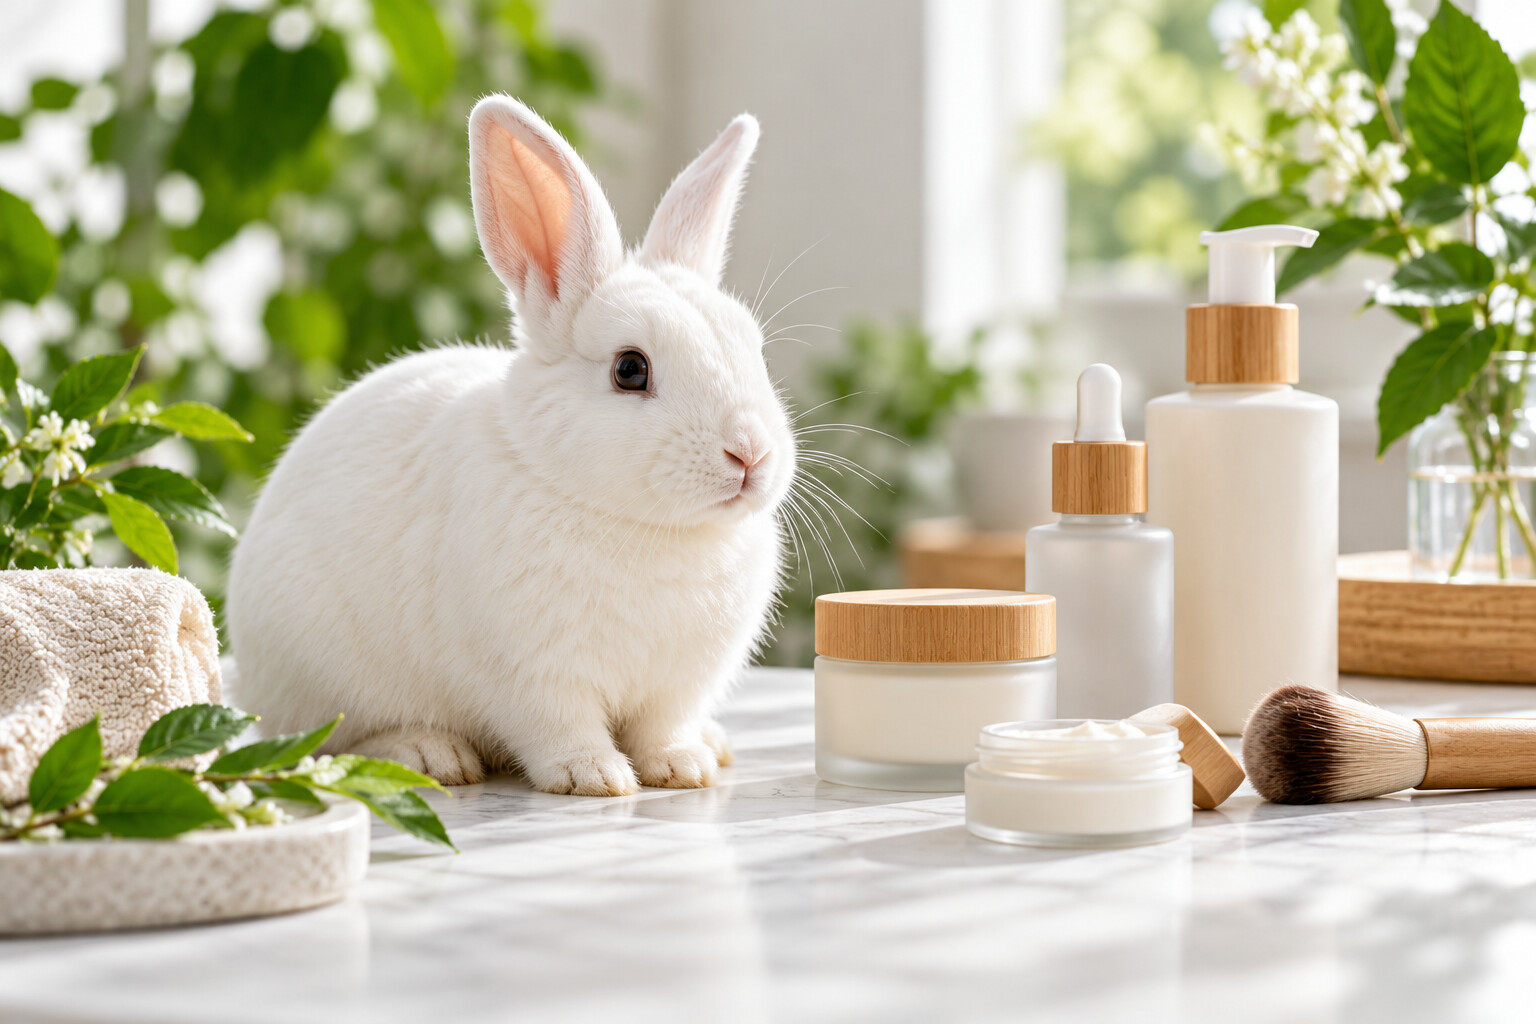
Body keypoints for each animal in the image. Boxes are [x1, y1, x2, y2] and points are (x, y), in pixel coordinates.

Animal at [226, 95, 795, 796]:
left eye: (754, 348)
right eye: (630, 369)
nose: (750, 454)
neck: (651, 528)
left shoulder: (677, 685)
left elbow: (663, 727)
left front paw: (682, 767)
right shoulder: (533, 674)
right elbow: (558, 726)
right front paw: (594, 777)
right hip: (323, 677)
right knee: (334, 739)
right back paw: (431, 755)